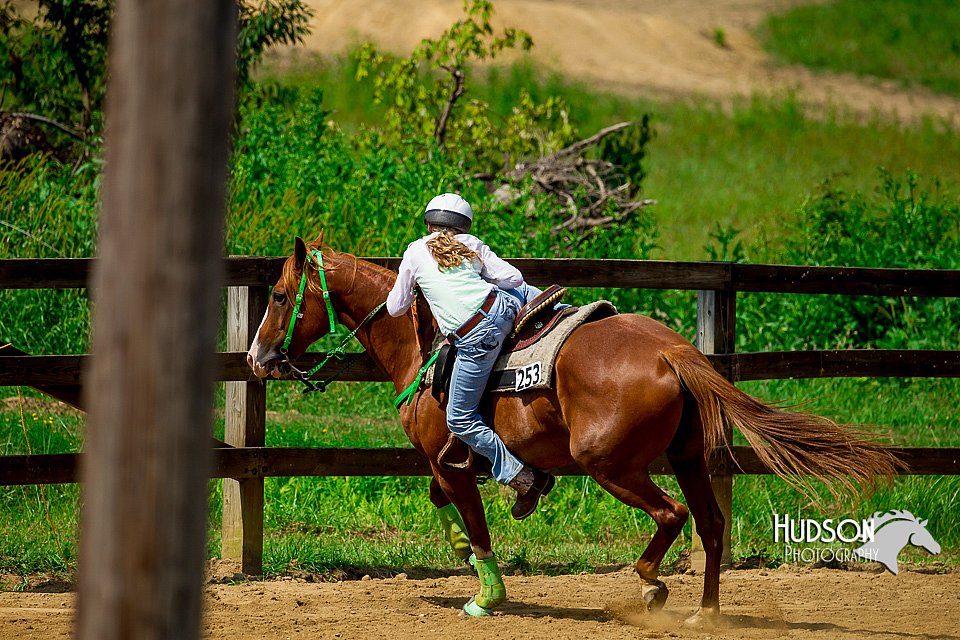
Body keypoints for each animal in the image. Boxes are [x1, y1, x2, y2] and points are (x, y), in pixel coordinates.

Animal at [246, 236, 900, 624]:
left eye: (277, 294)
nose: (256, 358)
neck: (424, 346)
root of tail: (673, 353)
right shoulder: (450, 462)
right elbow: (443, 500)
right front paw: (485, 530)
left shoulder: (449, 455)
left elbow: (470, 518)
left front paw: (486, 593)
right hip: (687, 457)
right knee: (711, 526)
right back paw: (704, 614)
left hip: (609, 464)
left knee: (672, 516)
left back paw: (650, 588)